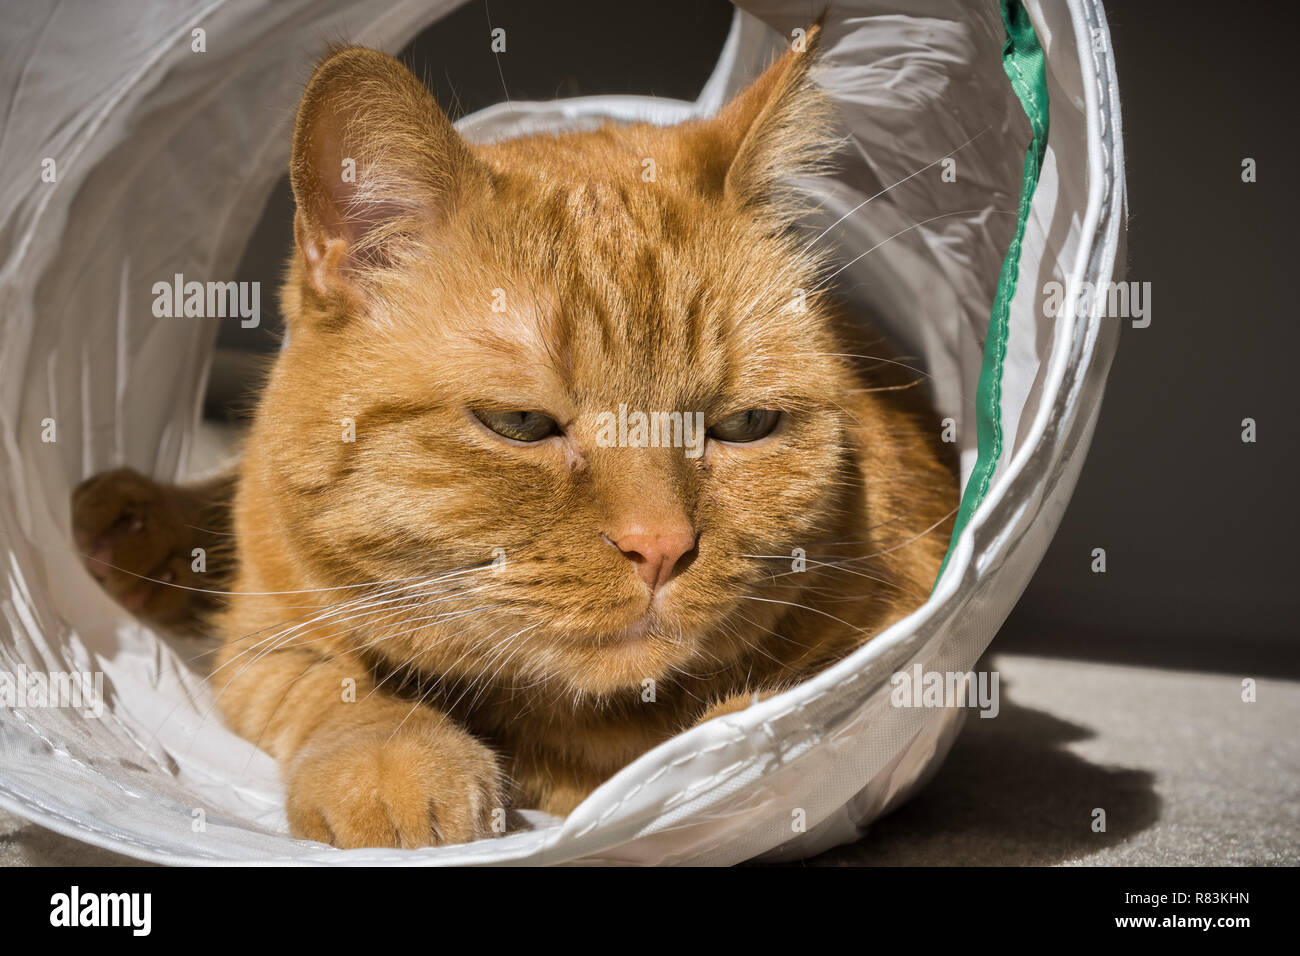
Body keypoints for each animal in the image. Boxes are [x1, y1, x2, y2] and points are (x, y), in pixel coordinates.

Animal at [76, 29, 961, 848]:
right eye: (520, 425)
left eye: (744, 426)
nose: (661, 548)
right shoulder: (263, 636)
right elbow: (332, 687)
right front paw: (394, 764)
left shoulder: (908, 624)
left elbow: (785, 714)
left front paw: (724, 758)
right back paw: (130, 524)